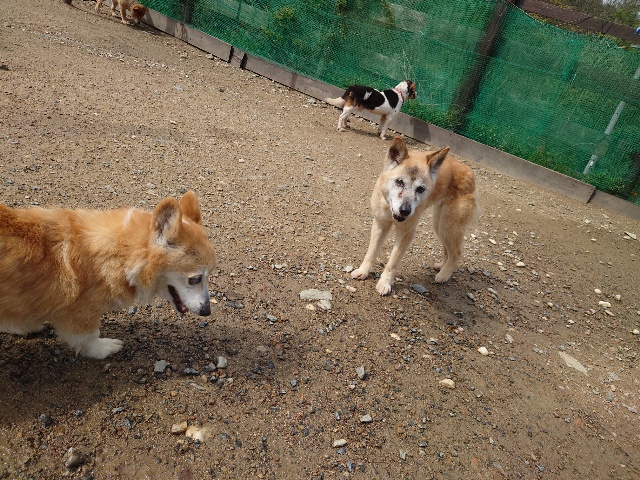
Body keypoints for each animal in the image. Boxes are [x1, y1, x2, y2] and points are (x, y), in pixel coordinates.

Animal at [0, 191, 217, 359]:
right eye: (195, 279)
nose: (207, 311)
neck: (120, 253)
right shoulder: (80, 312)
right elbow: (88, 337)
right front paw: (104, 348)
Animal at [351, 136, 478, 295]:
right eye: (399, 181)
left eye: (420, 189)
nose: (405, 211)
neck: (389, 209)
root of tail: (470, 172)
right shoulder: (380, 223)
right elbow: (371, 252)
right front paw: (363, 271)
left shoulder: (406, 233)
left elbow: (392, 263)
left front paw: (385, 283)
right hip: (439, 225)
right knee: (448, 250)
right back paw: (441, 266)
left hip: (448, 226)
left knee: (457, 252)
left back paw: (443, 275)